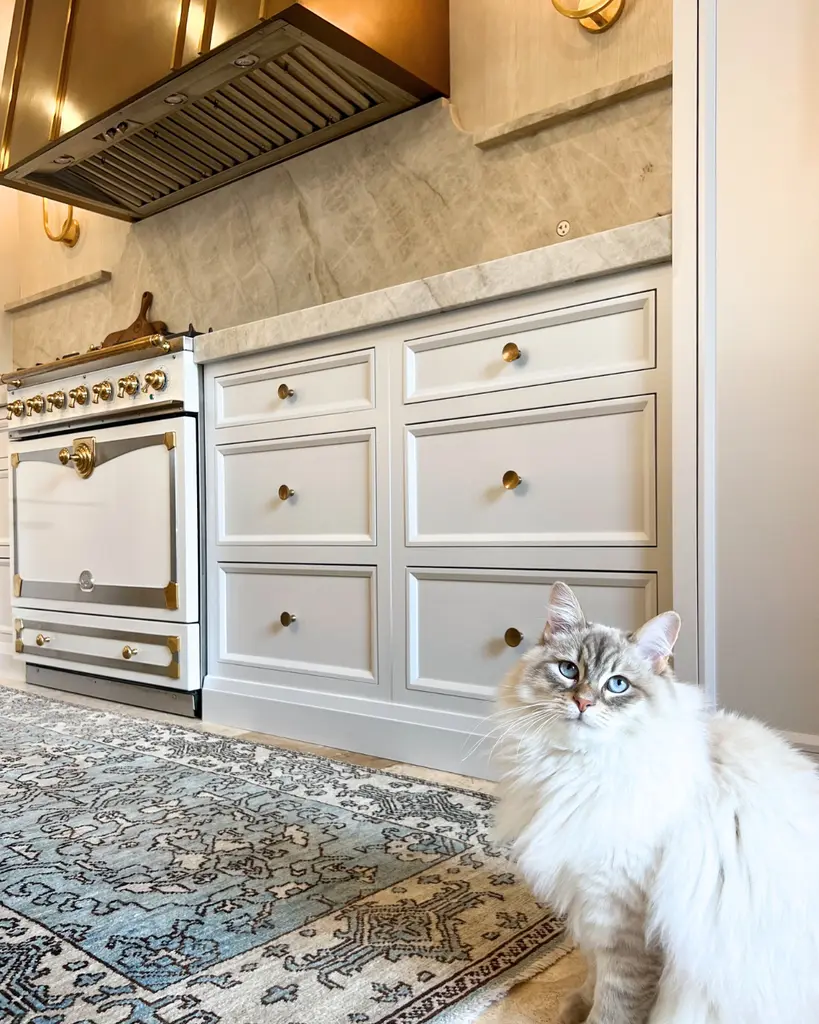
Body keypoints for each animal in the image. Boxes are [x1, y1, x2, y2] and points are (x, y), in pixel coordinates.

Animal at [492, 582, 819, 1024]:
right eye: (568, 670)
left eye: (617, 685)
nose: (583, 703)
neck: (578, 768)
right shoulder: (589, 905)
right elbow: (593, 973)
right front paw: (573, 1009)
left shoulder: (623, 918)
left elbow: (614, 1003)